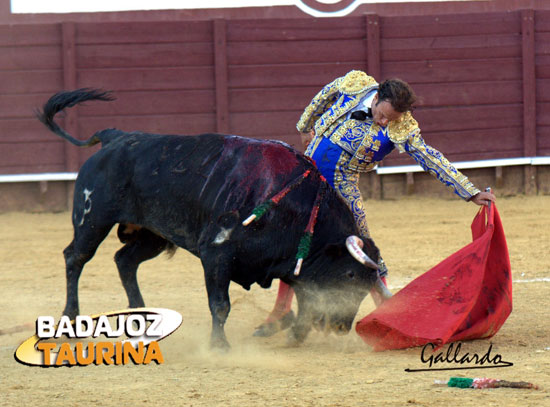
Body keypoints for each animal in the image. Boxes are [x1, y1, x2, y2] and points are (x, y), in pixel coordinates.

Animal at [36, 89, 390, 350]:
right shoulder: (216, 253)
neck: (296, 206)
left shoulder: (295, 264)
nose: (341, 327)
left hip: (153, 233)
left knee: (125, 260)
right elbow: (220, 304)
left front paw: (292, 335)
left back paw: (142, 317)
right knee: (76, 257)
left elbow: (306, 303)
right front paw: (219, 346)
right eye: (349, 275)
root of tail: (116, 137)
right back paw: (70, 318)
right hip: (92, 219)